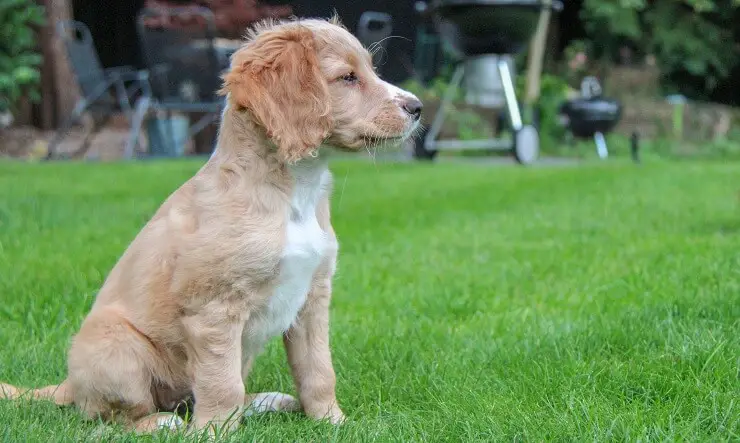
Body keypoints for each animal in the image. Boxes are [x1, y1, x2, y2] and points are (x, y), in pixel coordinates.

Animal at [0, 16, 422, 438]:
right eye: (348, 77)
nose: (417, 107)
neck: (293, 192)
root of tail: (68, 385)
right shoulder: (215, 308)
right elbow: (221, 383)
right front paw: (213, 432)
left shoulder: (313, 297)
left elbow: (318, 370)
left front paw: (334, 423)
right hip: (116, 345)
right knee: (108, 420)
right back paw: (161, 421)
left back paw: (265, 401)